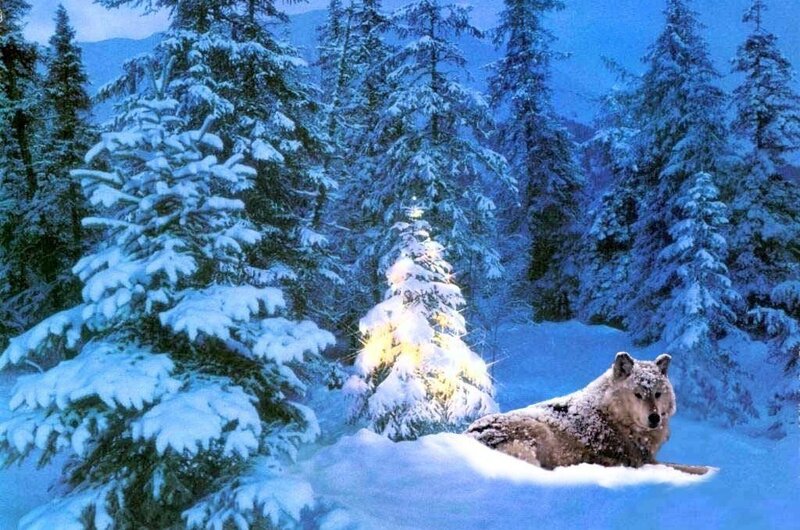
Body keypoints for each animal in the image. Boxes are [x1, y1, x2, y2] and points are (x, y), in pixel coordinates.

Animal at [466, 352, 709, 474]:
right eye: (638, 394)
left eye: (657, 394)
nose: (655, 418)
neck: (614, 417)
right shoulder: (641, 462)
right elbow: (694, 468)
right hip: (537, 430)